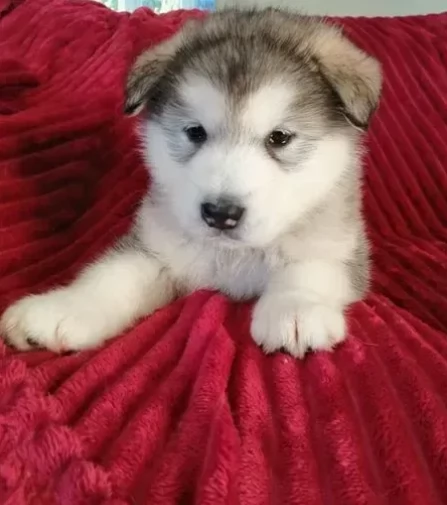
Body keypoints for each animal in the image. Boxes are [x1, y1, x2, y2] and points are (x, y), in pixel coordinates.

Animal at [1, 7, 384, 354]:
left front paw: (296, 307)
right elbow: (112, 276)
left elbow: (311, 266)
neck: (234, 257)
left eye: (279, 138)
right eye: (195, 132)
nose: (221, 213)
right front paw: (61, 309)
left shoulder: (341, 242)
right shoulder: (158, 249)